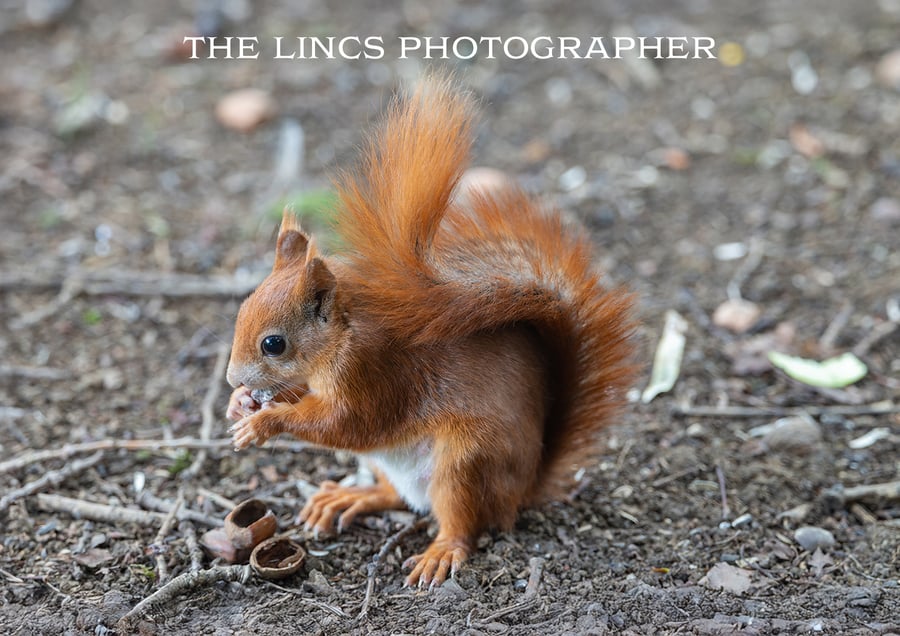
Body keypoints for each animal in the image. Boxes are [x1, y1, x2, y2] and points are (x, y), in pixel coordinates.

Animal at [225, 75, 637, 588]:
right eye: (241, 310)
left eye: (274, 344)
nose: (232, 378)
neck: (342, 336)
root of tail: (524, 488)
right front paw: (240, 404)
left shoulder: (375, 373)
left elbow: (345, 423)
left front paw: (263, 423)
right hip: (390, 463)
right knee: (396, 496)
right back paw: (352, 496)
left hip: (465, 463)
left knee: (461, 520)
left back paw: (440, 552)